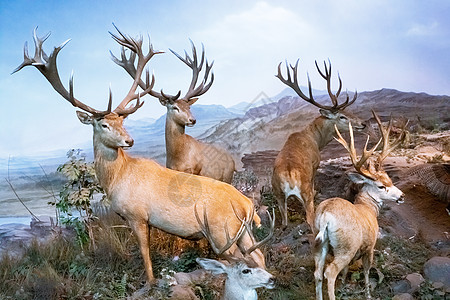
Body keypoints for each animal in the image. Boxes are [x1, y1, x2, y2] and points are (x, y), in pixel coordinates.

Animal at [110, 39, 236, 183]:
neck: (177, 158)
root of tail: (233, 162)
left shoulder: (194, 171)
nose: (193, 120)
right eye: (175, 107)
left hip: (227, 177)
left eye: (189, 107)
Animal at [270, 60, 366, 230]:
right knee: (310, 217)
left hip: (278, 195)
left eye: (350, 111)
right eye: (342, 116)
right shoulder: (315, 165)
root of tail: (289, 174)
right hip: (305, 193)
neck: (315, 139)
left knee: (284, 223)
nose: (363, 123)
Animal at [314, 110, 406, 300]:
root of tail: (325, 215)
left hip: (321, 243)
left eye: (390, 179)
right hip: (346, 246)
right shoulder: (369, 246)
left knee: (318, 273)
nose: (402, 196)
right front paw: (368, 294)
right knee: (329, 272)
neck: (367, 208)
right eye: (381, 186)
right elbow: (366, 270)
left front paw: (344, 283)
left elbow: (347, 270)